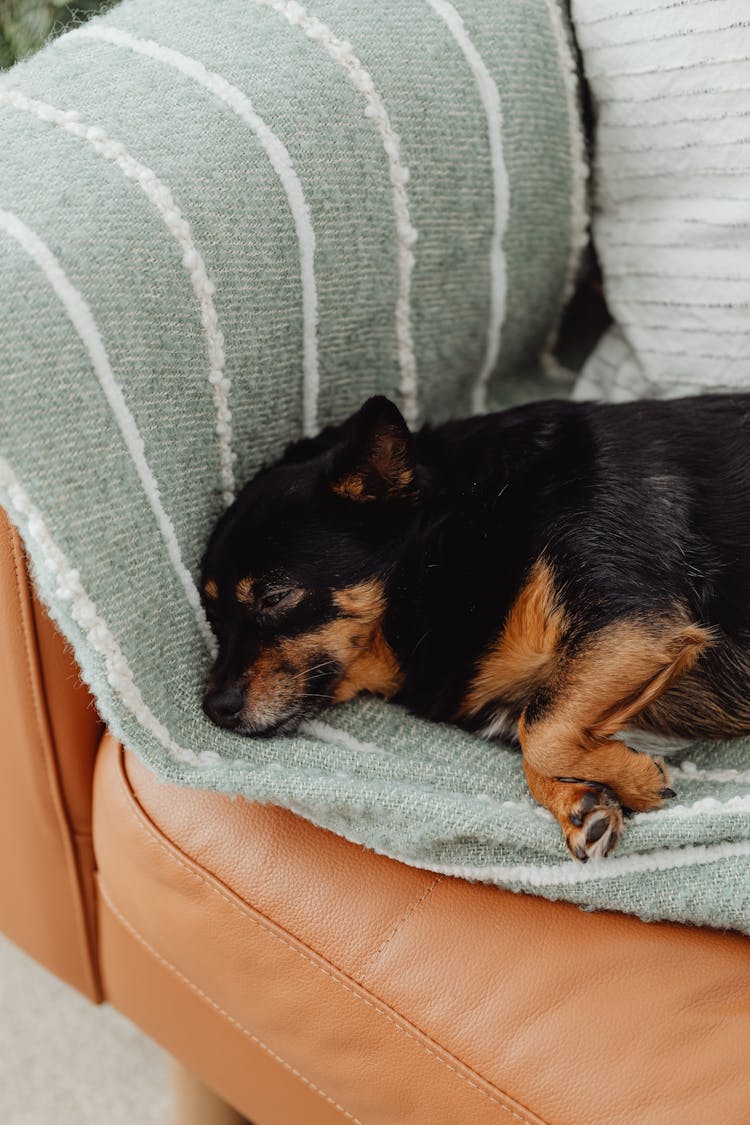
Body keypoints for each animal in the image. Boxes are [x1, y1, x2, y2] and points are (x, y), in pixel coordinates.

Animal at [199, 396, 750, 859]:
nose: (213, 708)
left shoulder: (637, 624)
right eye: (213, 617)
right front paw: (581, 801)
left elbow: (542, 728)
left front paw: (635, 780)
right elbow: (537, 730)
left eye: (273, 596)